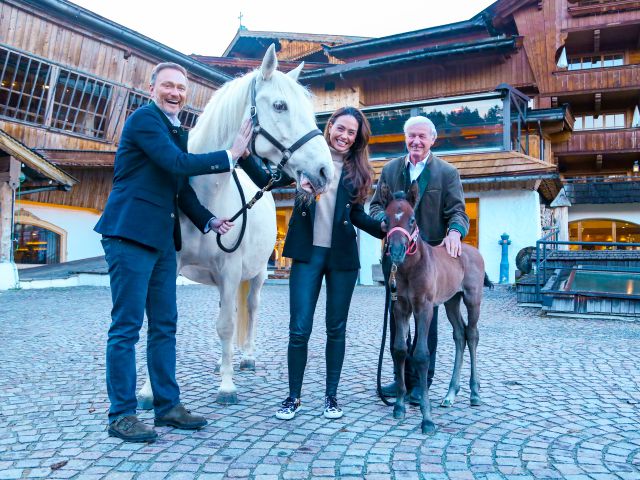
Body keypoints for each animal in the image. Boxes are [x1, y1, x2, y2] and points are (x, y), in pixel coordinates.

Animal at [137, 44, 332, 404]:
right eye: (280, 105)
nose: (325, 172)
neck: (206, 196)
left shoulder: (230, 270)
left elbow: (227, 324)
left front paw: (227, 386)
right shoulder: (170, 266)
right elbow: (161, 323)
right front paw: (147, 390)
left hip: (256, 275)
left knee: (250, 310)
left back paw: (245, 358)